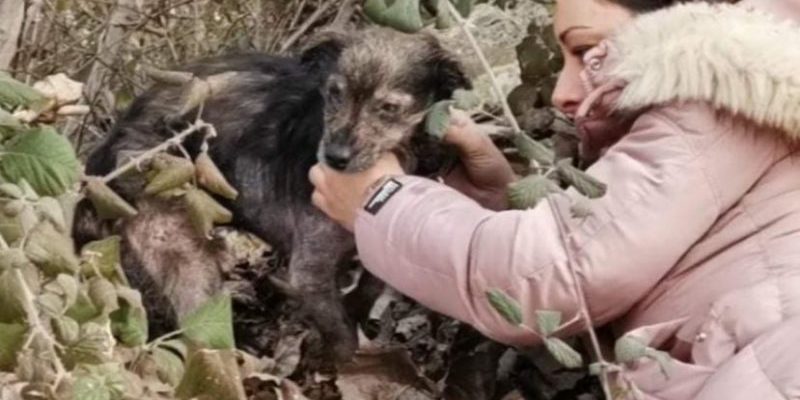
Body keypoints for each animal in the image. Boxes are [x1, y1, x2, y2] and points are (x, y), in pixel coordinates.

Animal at [74, 27, 468, 360]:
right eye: (334, 95)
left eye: (388, 109)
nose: (334, 158)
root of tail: (101, 158)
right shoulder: (309, 273)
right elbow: (342, 337)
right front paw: (343, 367)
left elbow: (373, 283)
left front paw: (356, 306)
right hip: (183, 250)